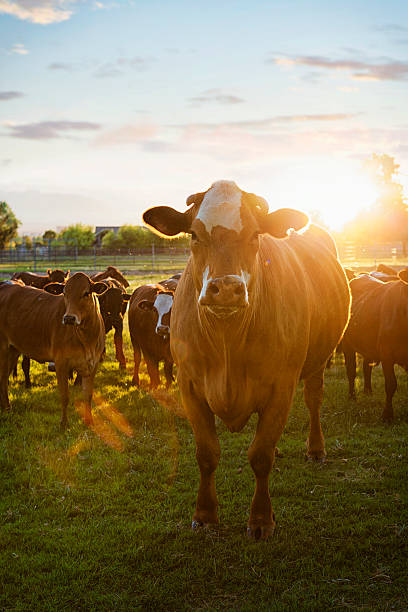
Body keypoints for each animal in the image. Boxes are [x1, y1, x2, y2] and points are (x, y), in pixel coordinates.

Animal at [0, 272, 107, 426]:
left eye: (86, 293)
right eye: (64, 293)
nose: (69, 318)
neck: (87, 339)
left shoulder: (93, 364)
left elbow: (88, 395)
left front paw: (90, 421)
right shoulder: (61, 362)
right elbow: (64, 395)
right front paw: (64, 424)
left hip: (13, 349)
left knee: (3, 379)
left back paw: (7, 408)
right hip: (3, 347)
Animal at [142, 179, 350, 536]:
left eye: (255, 235)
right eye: (193, 234)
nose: (225, 288)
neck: (227, 342)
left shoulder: (282, 387)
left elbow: (260, 456)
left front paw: (261, 520)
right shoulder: (189, 386)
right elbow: (207, 453)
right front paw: (205, 514)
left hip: (316, 364)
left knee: (313, 400)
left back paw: (316, 448)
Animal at [342, 270, 408, 424]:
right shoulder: (386, 353)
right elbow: (391, 384)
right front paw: (387, 415)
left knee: (366, 367)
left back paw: (368, 391)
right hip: (348, 345)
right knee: (351, 370)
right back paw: (352, 396)